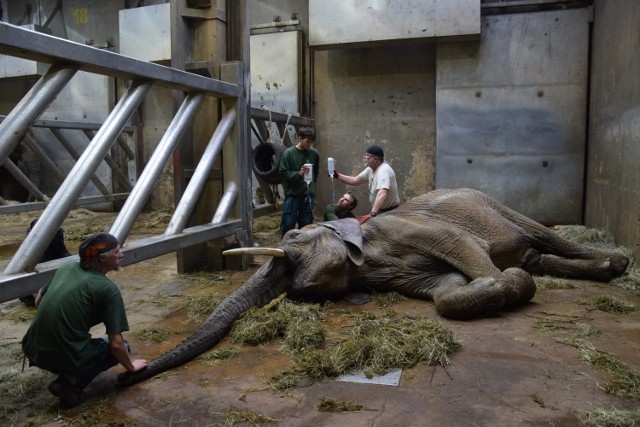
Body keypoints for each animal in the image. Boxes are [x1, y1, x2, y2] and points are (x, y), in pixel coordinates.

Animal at [117, 188, 628, 388]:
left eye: (292, 238)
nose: (125, 375)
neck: (362, 235)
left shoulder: (413, 229)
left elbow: (461, 245)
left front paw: (508, 284)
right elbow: (444, 291)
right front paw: (499, 287)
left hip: (493, 205)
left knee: (541, 235)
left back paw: (618, 263)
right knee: (537, 254)